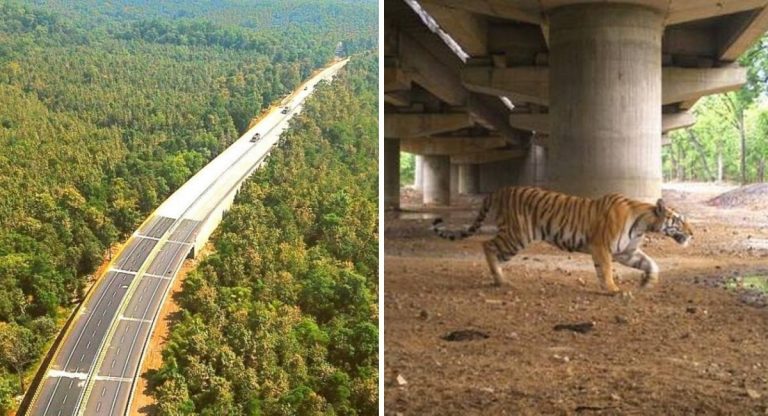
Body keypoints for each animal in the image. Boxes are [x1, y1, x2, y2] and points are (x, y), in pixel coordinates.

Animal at [432, 187, 696, 294]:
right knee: (486, 244)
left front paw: (648, 282)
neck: (644, 224)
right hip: (517, 237)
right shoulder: (601, 247)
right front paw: (612, 289)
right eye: (680, 220)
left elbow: (651, 263)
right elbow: (605, 269)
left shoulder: (626, 252)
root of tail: (501, 190)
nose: (693, 233)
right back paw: (500, 279)